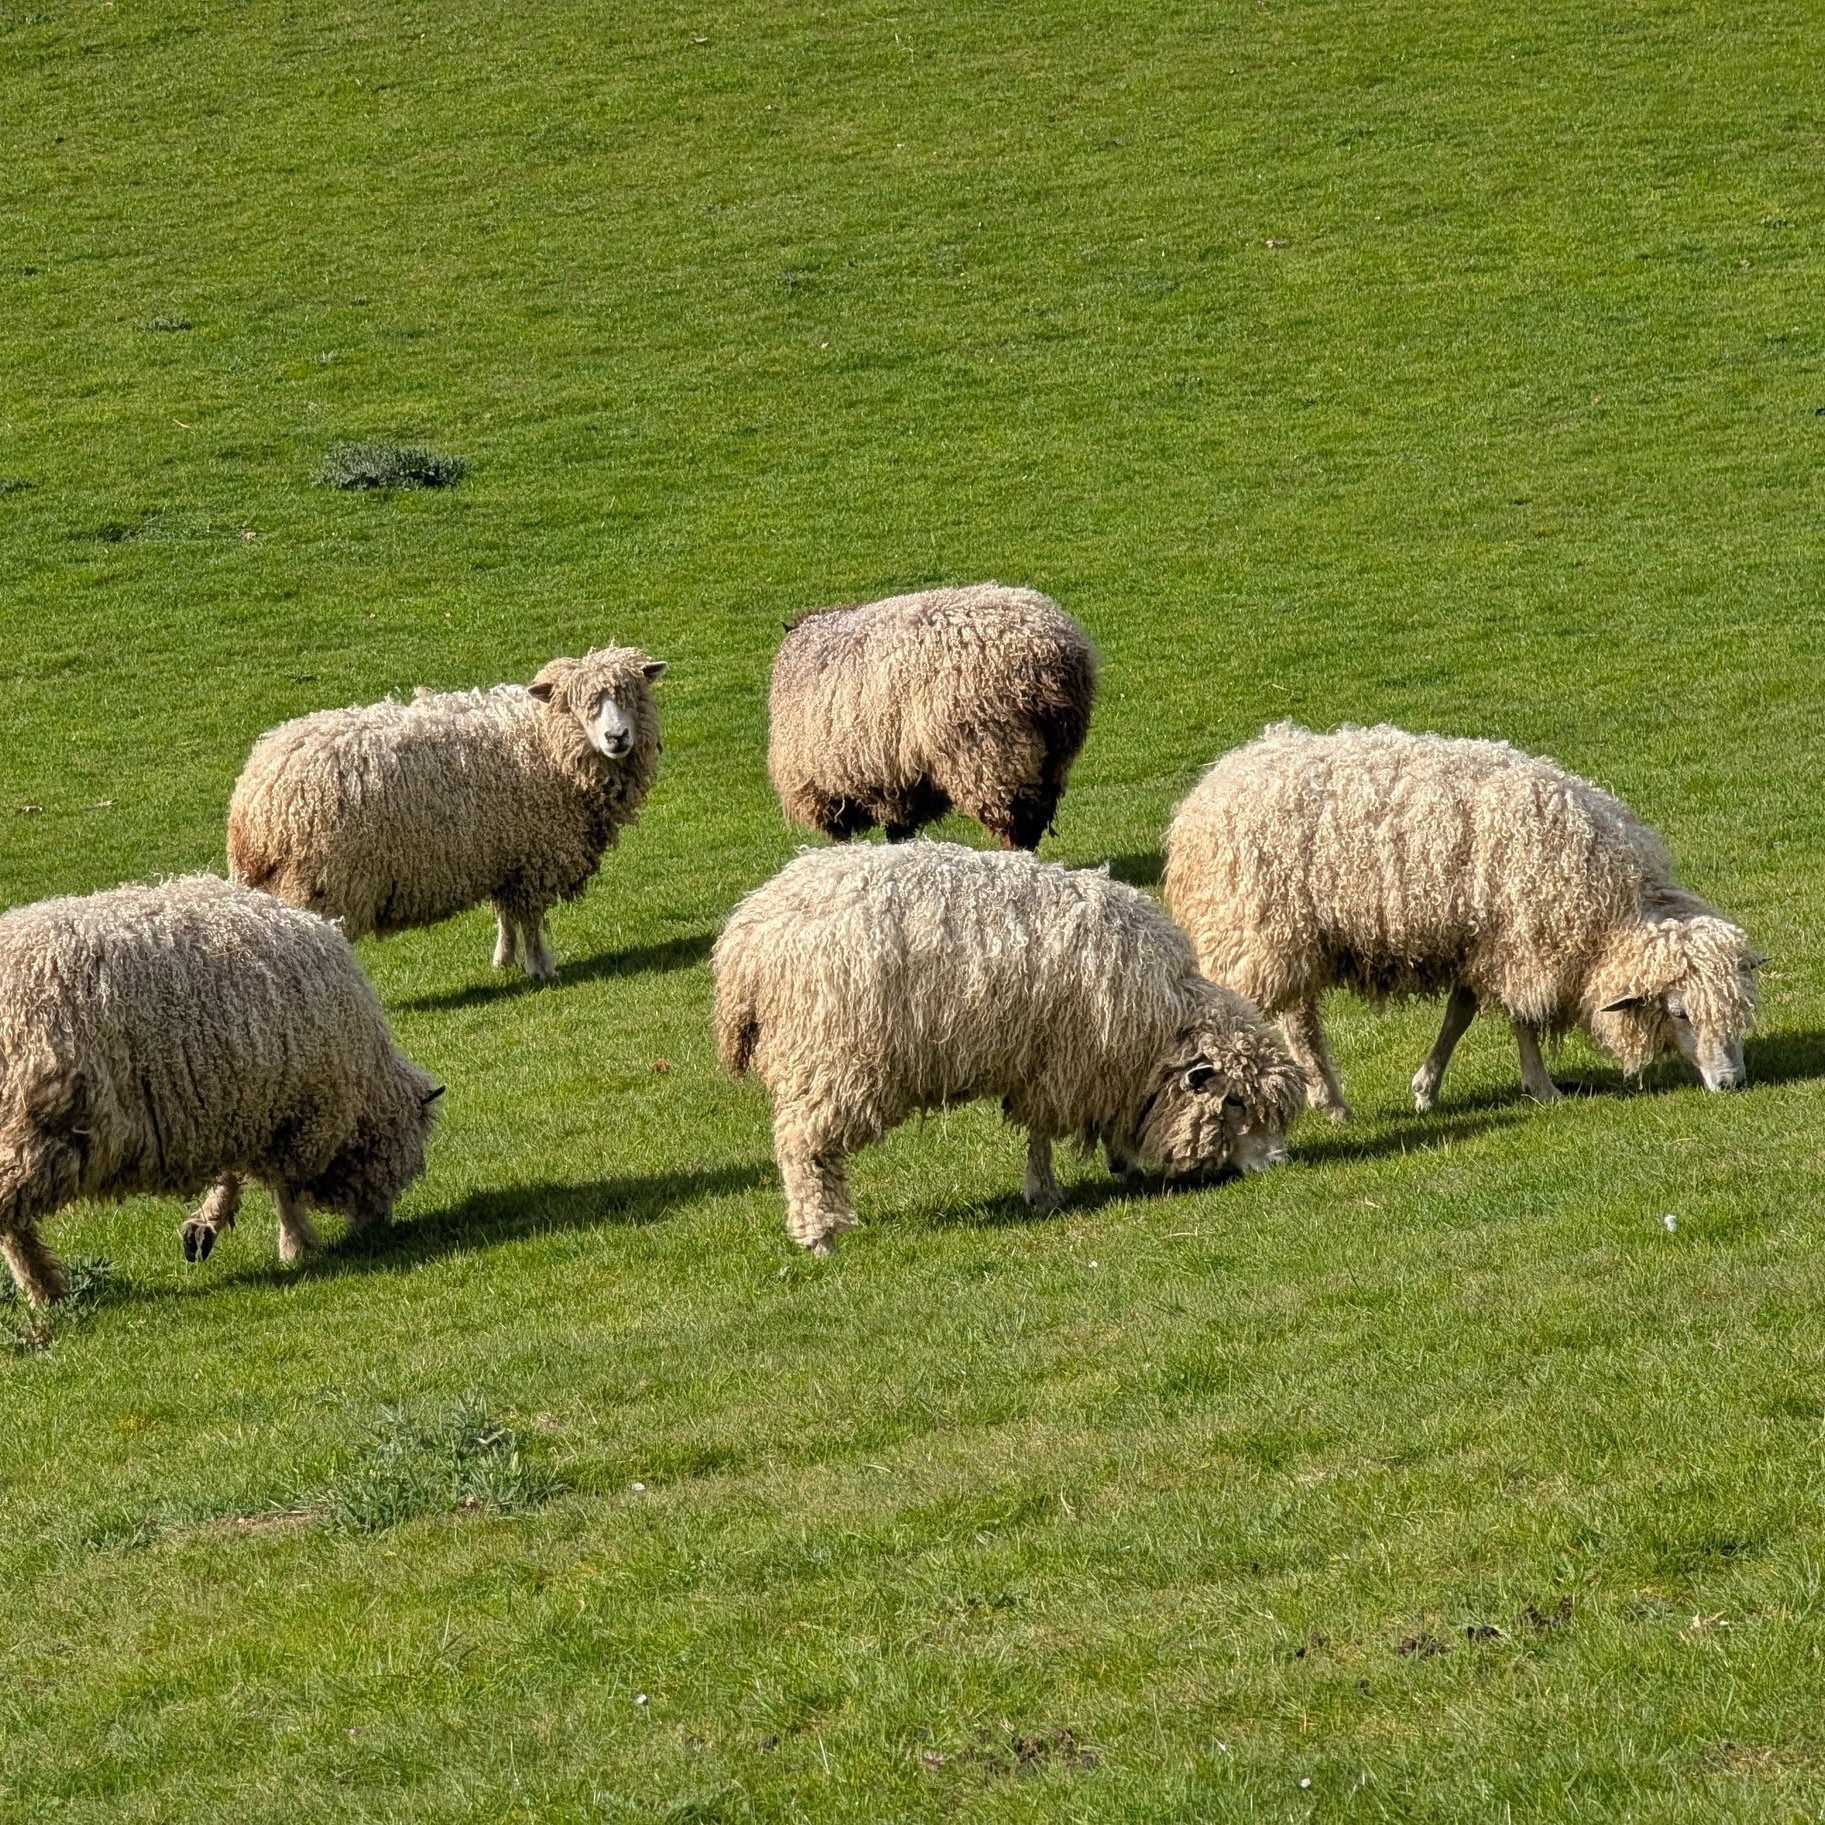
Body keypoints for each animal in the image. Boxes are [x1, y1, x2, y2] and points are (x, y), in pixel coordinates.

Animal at [0, 874, 442, 1305]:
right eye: (405, 1143)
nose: (380, 1227)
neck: (366, 1082)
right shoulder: (296, 1112)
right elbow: (283, 1187)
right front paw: (295, 1244)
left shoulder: (237, 1107)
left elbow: (236, 1175)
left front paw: (204, 1225)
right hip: (39, 1125)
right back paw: (45, 1291)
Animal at [227, 646, 666, 980]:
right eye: (578, 706)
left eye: (631, 696)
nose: (617, 737)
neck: (543, 742)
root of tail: (255, 804)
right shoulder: (533, 857)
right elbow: (531, 920)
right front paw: (540, 967)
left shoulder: (504, 856)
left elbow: (506, 916)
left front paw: (504, 960)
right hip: (321, 884)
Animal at [712, 841, 1304, 1253]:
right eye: (1235, 1102)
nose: (1277, 1165)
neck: (1163, 1017)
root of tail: (747, 936)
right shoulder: (1065, 1062)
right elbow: (1041, 1132)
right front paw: (1046, 1192)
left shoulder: (1066, 1066)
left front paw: (1118, 1162)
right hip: (831, 1061)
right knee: (802, 1149)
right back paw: (820, 1235)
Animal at [766, 583, 1097, 850]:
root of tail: (1049, 656)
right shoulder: (897, 773)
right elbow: (899, 826)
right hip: (1054, 754)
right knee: (1038, 812)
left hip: (990, 751)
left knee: (1018, 820)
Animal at [1162, 723, 1762, 1119]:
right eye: (1679, 1013)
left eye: (1739, 1010)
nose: (1732, 1083)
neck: (1612, 905)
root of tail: (1212, 786)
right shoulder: (1520, 942)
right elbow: (1522, 1020)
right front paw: (1542, 1087)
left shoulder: (1483, 942)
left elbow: (1461, 1014)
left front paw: (1426, 1088)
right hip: (1258, 933)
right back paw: (1315, 1105)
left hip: (1291, 939)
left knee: (1298, 1021)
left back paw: (1325, 1099)